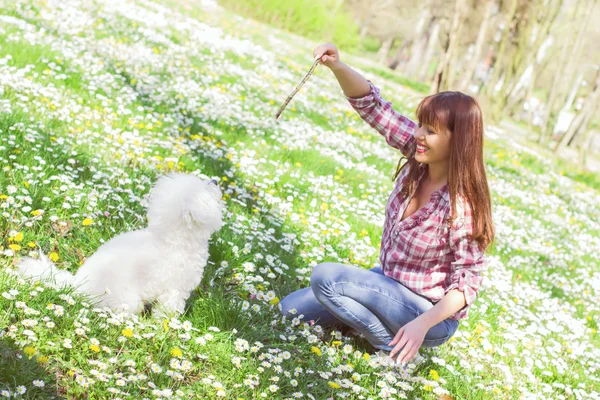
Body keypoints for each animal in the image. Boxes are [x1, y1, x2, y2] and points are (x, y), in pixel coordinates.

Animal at [19, 173, 225, 318]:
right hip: (127, 299)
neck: (174, 239)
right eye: (206, 188)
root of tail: (76, 285)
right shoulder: (174, 291)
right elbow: (166, 312)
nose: (215, 180)